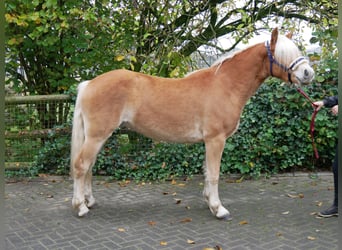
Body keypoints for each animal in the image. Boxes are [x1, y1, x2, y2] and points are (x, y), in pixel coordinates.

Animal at [71, 27, 314, 219]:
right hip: (97, 136)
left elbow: (207, 172)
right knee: (81, 165)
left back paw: (90, 201)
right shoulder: (215, 140)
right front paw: (218, 209)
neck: (225, 85)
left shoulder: (209, 142)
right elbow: (214, 174)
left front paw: (209, 202)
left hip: (98, 137)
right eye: (283, 53)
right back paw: (81, 207)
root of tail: (89, 83)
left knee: (89, 166)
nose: (308, 73)